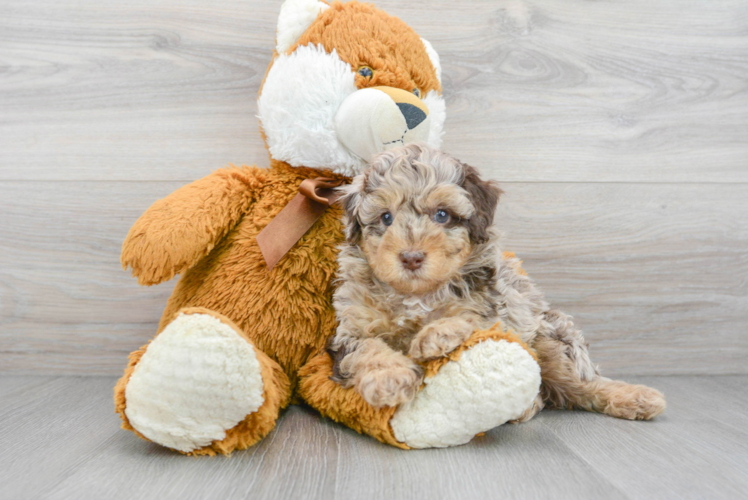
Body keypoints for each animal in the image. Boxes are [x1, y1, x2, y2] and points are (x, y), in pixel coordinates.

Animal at [330, 145, 664, 422]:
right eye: (386, 218)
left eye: (442, 215)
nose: (411, 257)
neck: (417, 295)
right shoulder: (349, 331)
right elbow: (368, 348)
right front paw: (390, 378)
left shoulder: (496, 306)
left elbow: (471, 317)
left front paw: (434, 335)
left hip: (551, 339)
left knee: (581, 384)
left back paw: (636, 397)